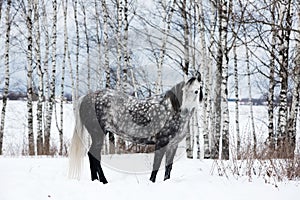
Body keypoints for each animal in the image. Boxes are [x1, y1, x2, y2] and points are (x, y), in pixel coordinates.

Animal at [69, 74, 203, 183]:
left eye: (197, 91)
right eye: (183, 91)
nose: (184, 110)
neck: (170, 110)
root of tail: (86, 97)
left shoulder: (173, 145)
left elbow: (168, 168)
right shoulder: (161, 142)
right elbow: (156, 164)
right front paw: (151, 182)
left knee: (92, 155)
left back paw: (96, 180)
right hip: (98, 135)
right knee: (94, 156)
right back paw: (103, 181)